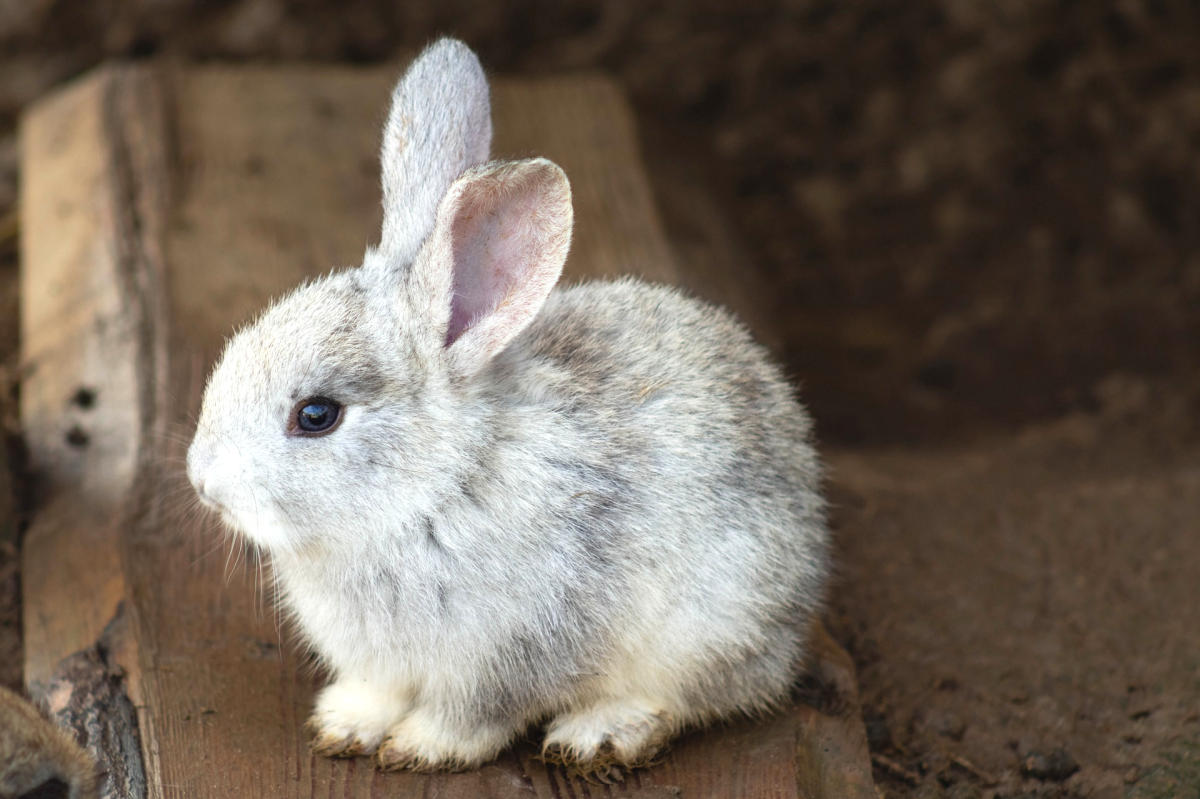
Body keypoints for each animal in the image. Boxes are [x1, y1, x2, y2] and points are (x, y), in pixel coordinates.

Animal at [186, 37, 829, 774]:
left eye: (317, 415)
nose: (202, 482)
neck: (433, 489)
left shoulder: (509, 652)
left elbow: (474, 716)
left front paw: (420, 748)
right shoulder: (382, 664)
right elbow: (376, 692)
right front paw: (344, 726)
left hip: (710, 625)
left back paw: (599, 733)